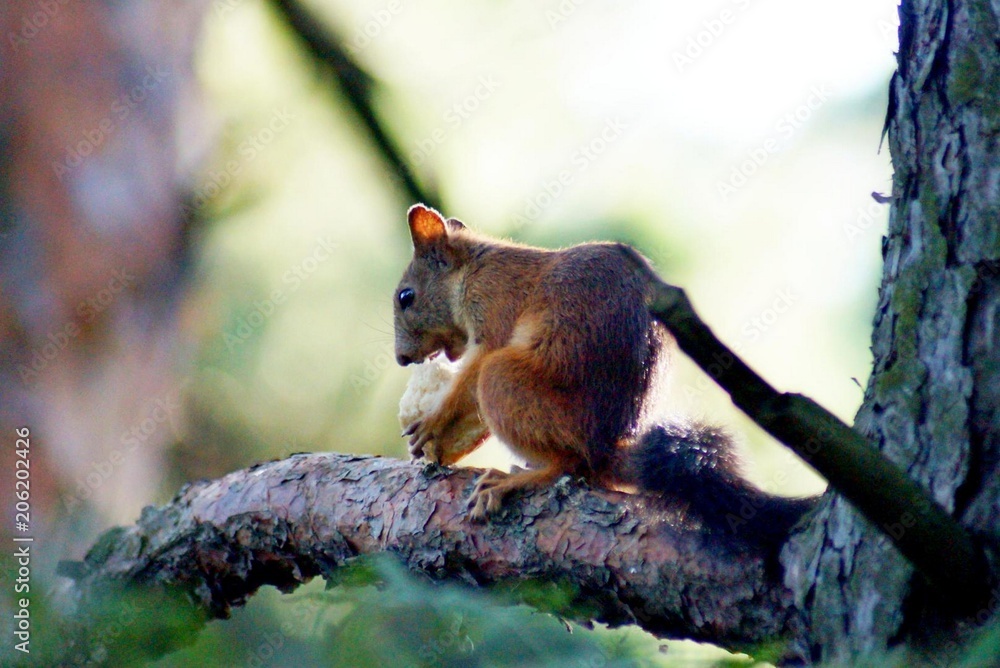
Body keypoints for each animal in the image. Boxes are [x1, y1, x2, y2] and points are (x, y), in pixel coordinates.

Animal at [394, 204, 816, 540]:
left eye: (406, 297)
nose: (400, 359)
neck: (473, 266)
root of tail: (603, 449)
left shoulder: (493, 307)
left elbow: (471, 374)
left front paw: (433, 422)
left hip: (507, 383)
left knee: (568, 464)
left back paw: (515, 479)